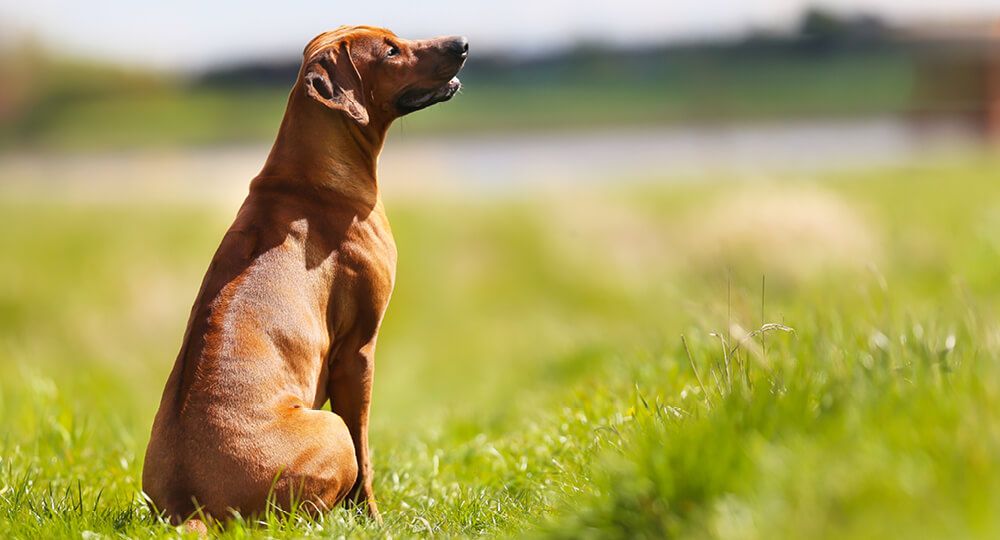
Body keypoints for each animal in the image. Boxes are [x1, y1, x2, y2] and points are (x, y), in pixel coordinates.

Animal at [142, 26, 468, 528]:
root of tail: (190, 505)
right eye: (391, 50)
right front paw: (373, 519)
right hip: (329, 429)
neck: (310, 178)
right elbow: (366, 452)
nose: (463, 44)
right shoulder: (358, 351)